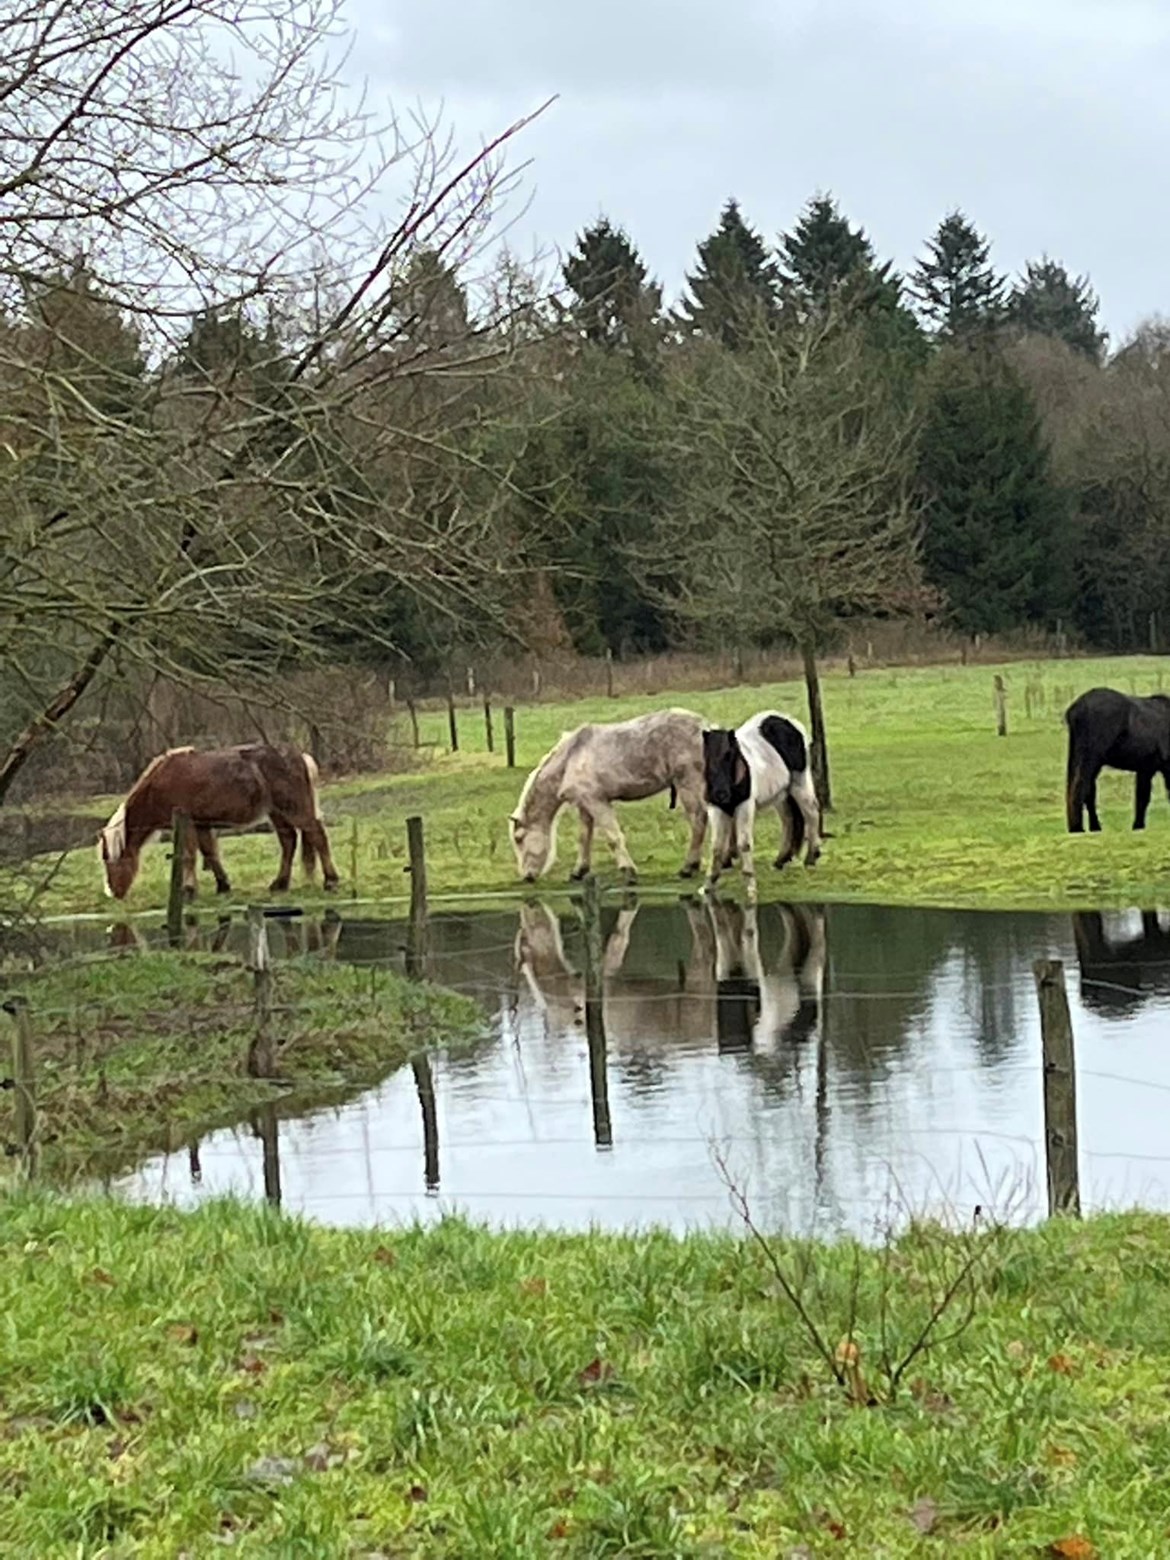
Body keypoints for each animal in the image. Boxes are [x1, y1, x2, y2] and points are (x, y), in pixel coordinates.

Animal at [96, 742, 338, 904]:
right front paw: (223, 885)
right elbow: (209, 853)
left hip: (295, 809)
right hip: (277, 813)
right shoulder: (201, 824)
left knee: (317, 836)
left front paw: (188, 890)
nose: (114, 893)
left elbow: (189, 856)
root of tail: (300, 756)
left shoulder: (187, 823)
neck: (160, 784)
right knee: (289, 841)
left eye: (110, 860)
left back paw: (331, 881)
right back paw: (280, 884)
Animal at [508, 711, 711, 886]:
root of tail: (705, 726)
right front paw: (579, 871)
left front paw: (628, 872)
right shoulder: (584, 805)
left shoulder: (597, 802)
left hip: (688, 784)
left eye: (519, 838)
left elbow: (613, 837)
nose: (526, 876)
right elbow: (584, 838)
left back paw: (687, 868)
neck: (570, 760)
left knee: (698, 820)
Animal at [705, 711, 823, 904]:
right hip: (781, 794)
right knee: (788, 820)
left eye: (730, 756)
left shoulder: (744, 806)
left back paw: (811, 857)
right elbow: (716, 847)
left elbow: (744, 844)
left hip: (799, 784)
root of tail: (788, 721)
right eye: (707, 758)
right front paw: (708, 885)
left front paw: (751, 889)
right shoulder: (716, 809)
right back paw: (781, 860)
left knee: (811, 812)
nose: (721, 793)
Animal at [1067, 683, 1170, 829]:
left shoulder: (1145, 769)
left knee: (1087, 791)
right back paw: (1080, 829)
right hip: (1090, 760)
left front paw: (1138, 826)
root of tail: (1078, 708)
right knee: (1081, 789)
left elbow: (1142, 797)